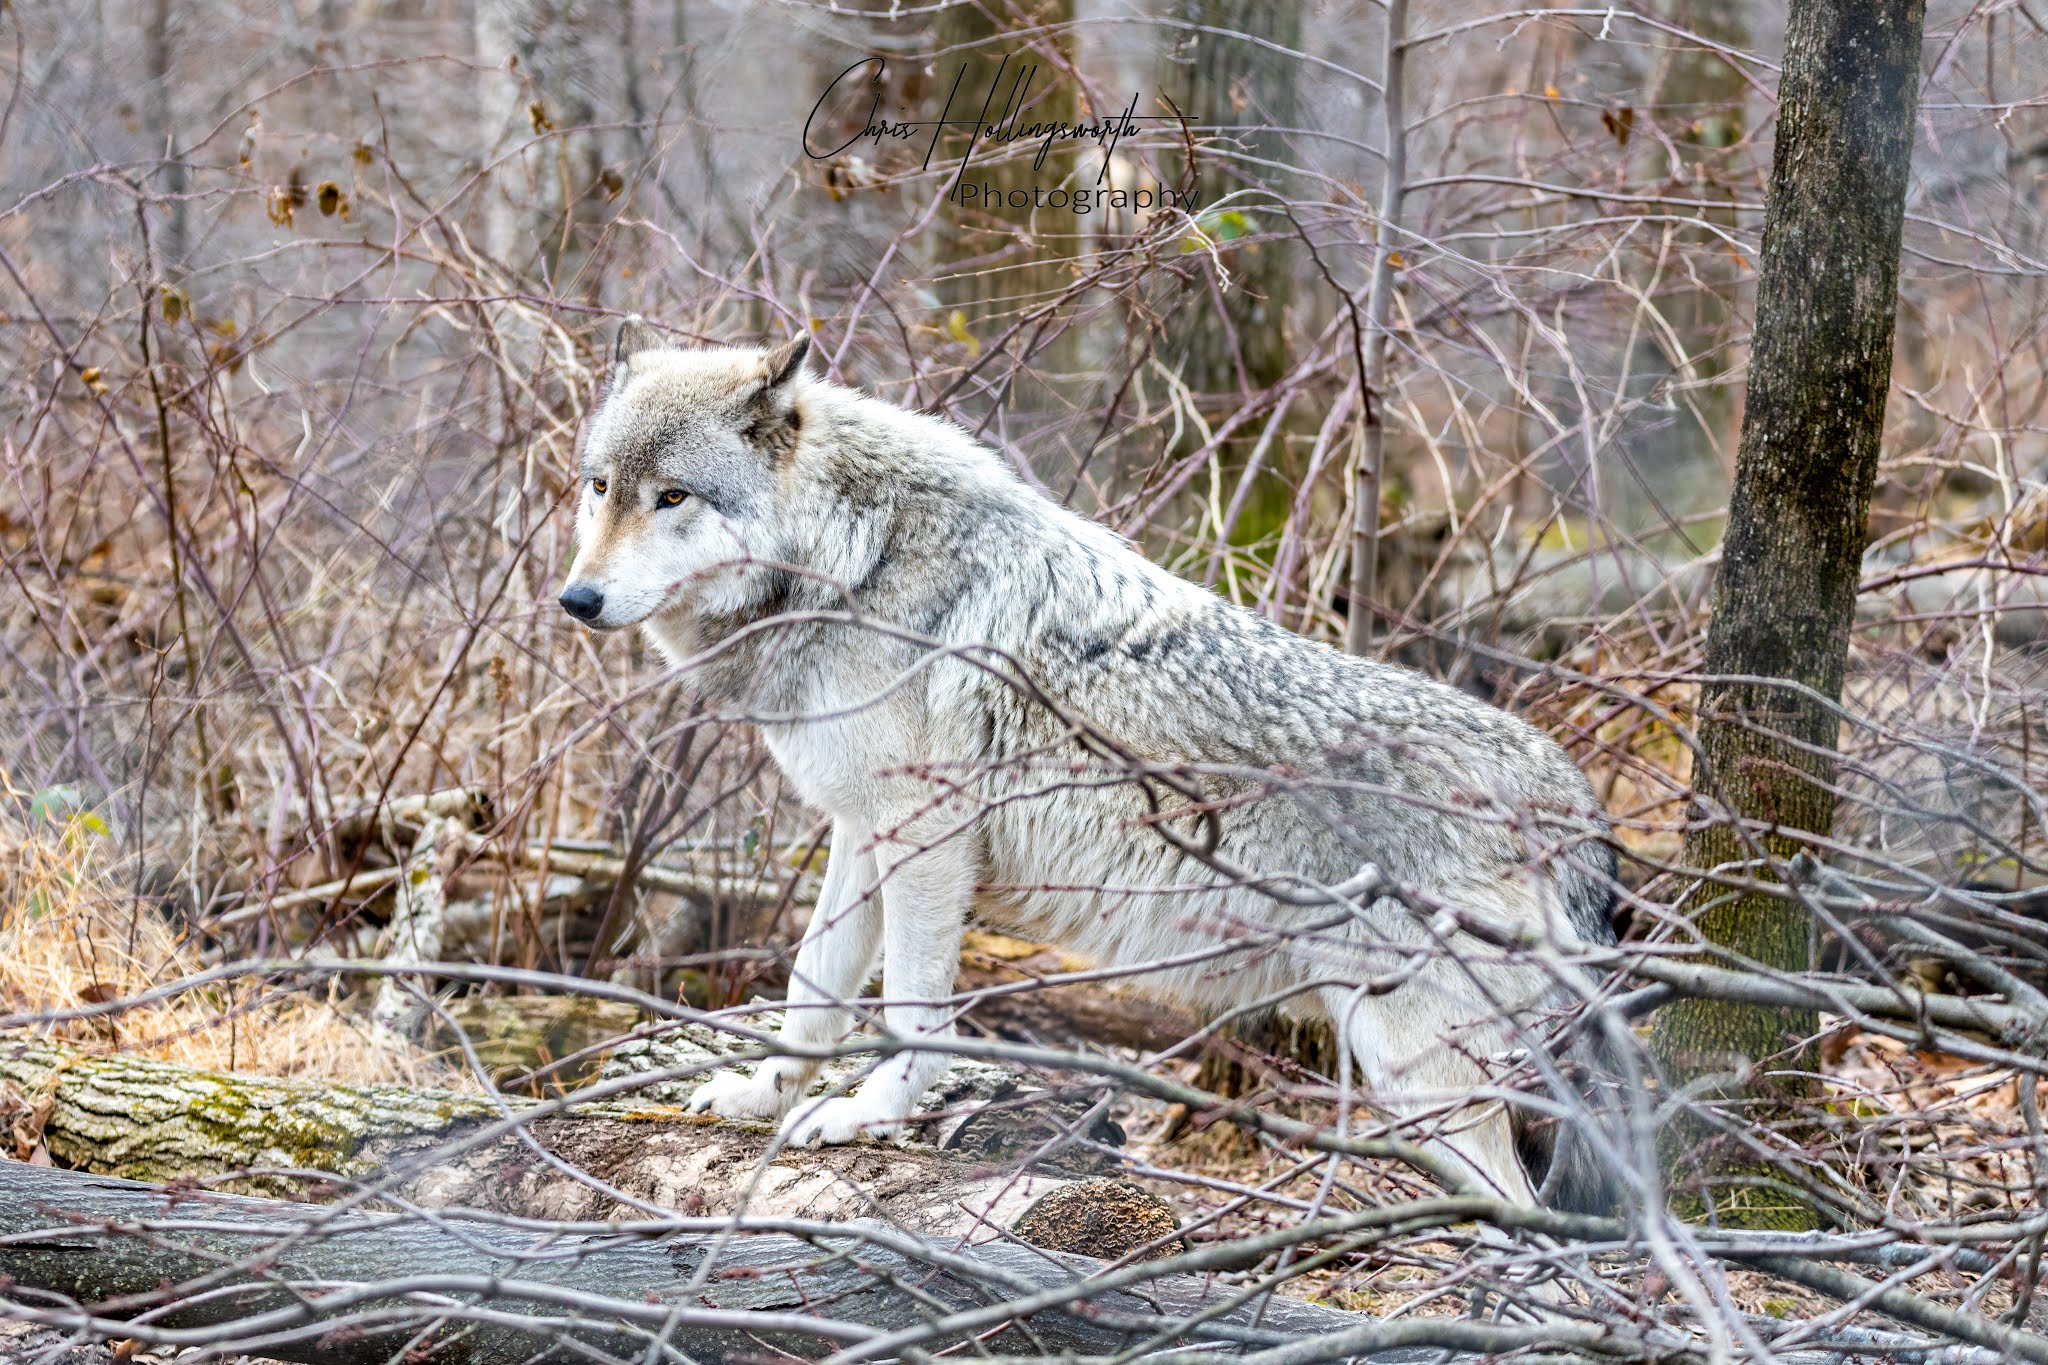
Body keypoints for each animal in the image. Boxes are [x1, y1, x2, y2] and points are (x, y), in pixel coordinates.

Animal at [560, 320, 1622, 1211]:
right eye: (601, 488)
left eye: (673, 496)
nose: (576, 599)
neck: (848, 560)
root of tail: (1573, 798)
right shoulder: (860, 830)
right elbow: (810, 992)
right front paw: (763, 1093)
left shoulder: (929, 837)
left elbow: (913, 1010)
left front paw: (871, 1113)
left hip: (1413, 1073)